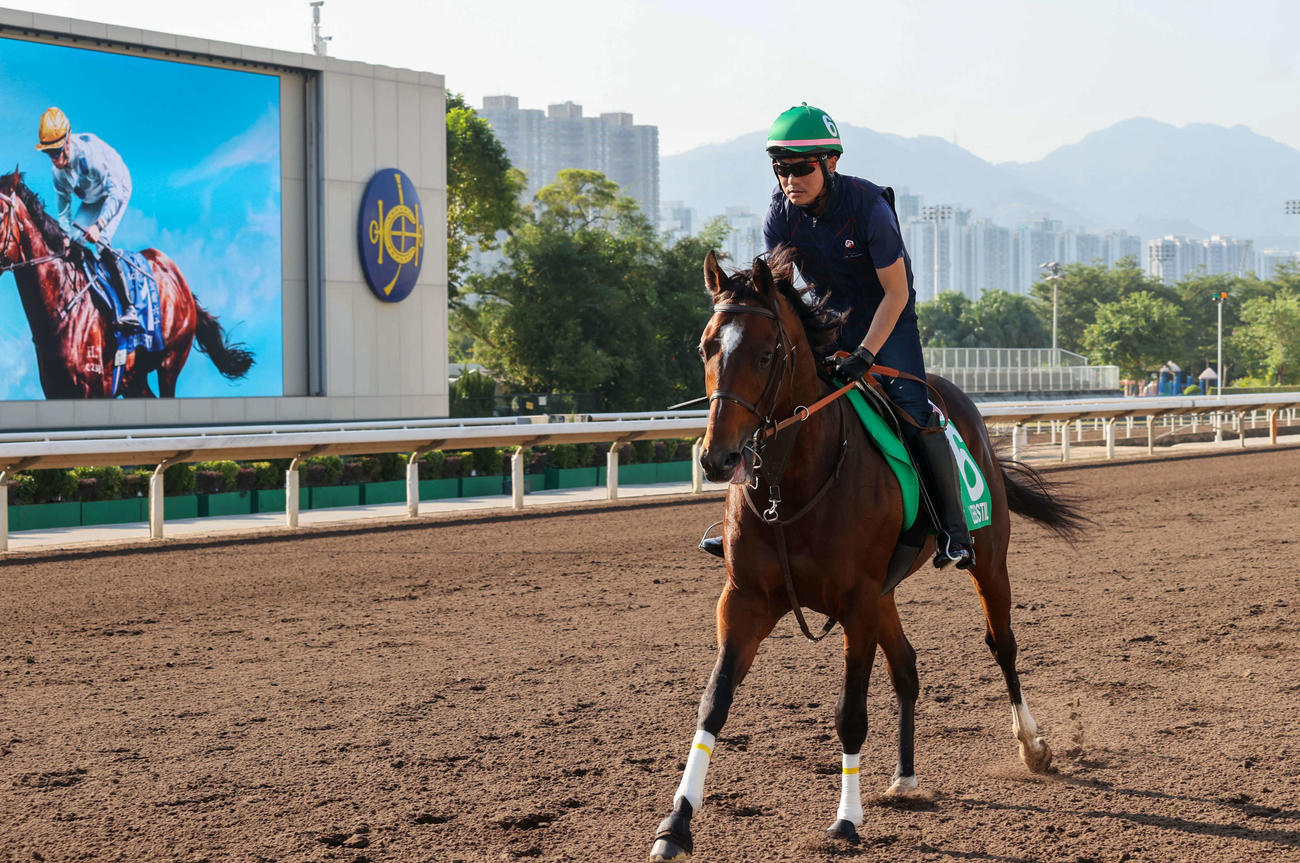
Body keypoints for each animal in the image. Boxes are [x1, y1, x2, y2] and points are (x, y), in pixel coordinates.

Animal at [0, 170, 253, 398]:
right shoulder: (56, 390)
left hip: (169, 364)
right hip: (133, 379)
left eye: (1, 212)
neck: (63, 303)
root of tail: (179, 280)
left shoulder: (91, 388)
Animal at [649, 250, 1086, 861]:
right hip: (886, 592)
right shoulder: (745, 600)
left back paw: (1032, 744)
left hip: (986, 558)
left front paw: (846, 820)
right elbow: (714, 702)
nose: (718, 457)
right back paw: (905, 778)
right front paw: (676, 823)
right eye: (705, 347)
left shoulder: (855, 602)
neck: (790, 487)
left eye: (765, 353)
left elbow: (850, 714)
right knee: (907, 667)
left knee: (1002, 645)